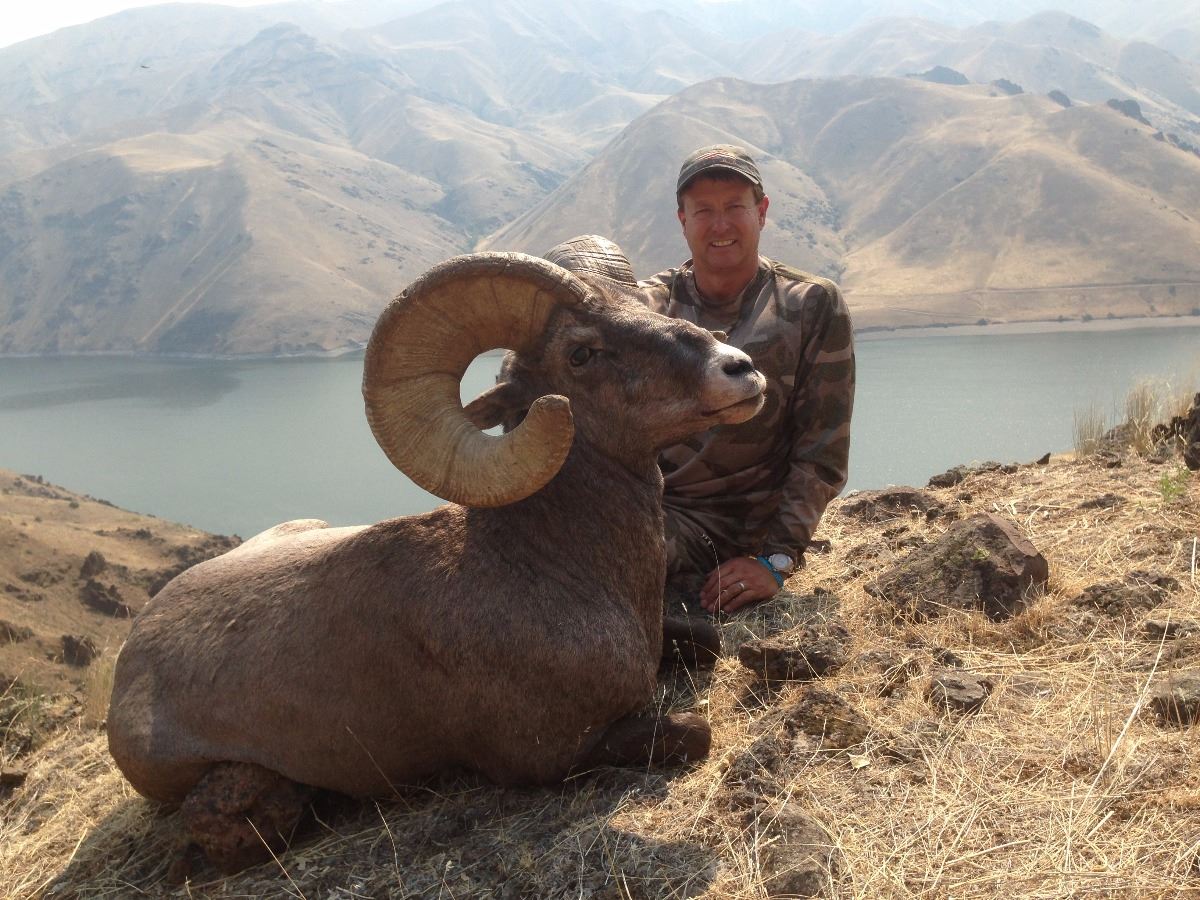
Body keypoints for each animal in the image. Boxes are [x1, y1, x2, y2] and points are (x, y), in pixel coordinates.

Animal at [106, 247, 766, 872]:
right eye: (581, 353)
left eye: (646, 307)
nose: (740, 369)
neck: (547, 565)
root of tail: (129, 663)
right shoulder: (552, 754)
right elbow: (696, 733)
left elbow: (710, 639)